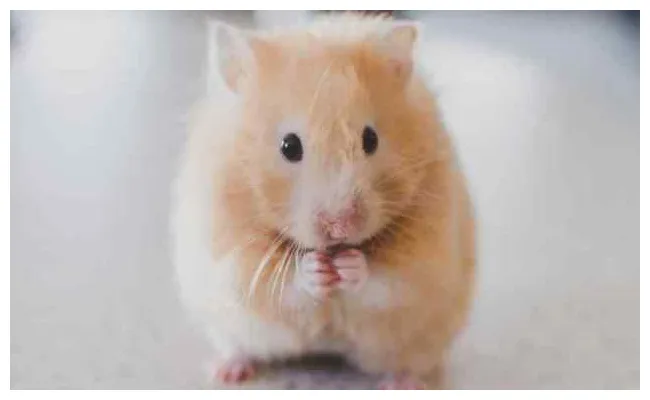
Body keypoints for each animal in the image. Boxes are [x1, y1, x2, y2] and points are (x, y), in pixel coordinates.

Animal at [172, 13, 475, 389]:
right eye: (289, 146)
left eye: (371, 139)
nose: (340, 225)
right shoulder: (233, 254)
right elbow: (279, 284)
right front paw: (316, 270)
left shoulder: (424, 257)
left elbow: (385, 279)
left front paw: (349, 266)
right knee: (237, 346)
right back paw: (227, 372)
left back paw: (402, 383)